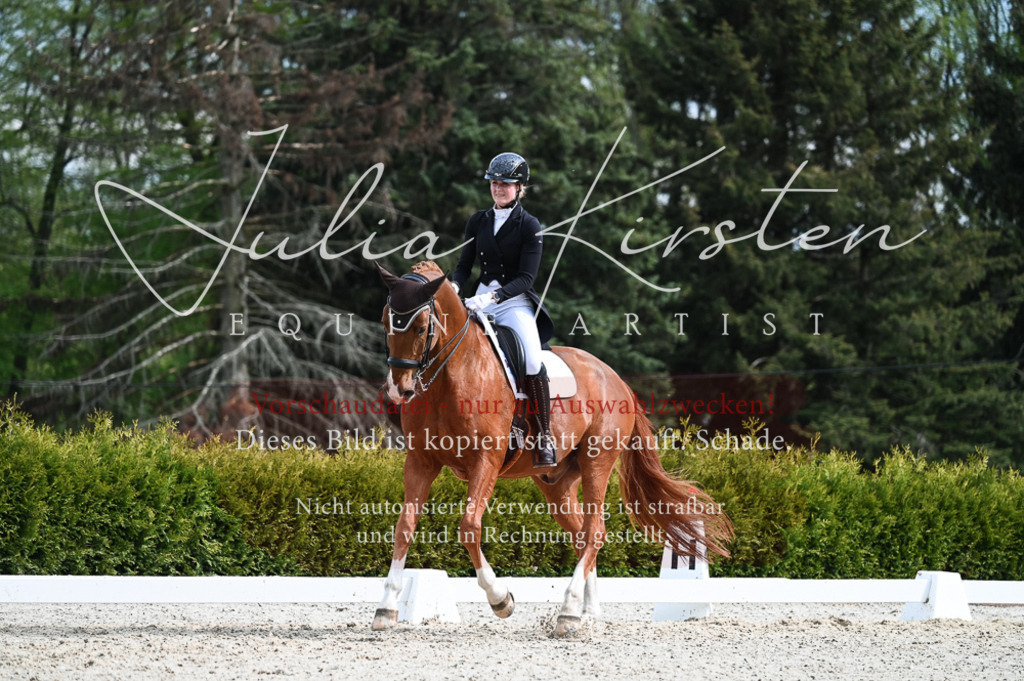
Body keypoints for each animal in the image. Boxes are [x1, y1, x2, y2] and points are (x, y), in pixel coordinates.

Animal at [374, 261, 732, 636]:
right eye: (385, 321)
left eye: (421, 327)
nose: (399, 390)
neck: (452, 374)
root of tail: (617, 379)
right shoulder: (420, 461)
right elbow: (403, 528)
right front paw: (386, 608)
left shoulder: (486, 460)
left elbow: (470, 527)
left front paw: (501, 599)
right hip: (556, 482)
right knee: (581, 534)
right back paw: (586, 612)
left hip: (596, 462)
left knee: (594, 532)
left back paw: (569, 611)